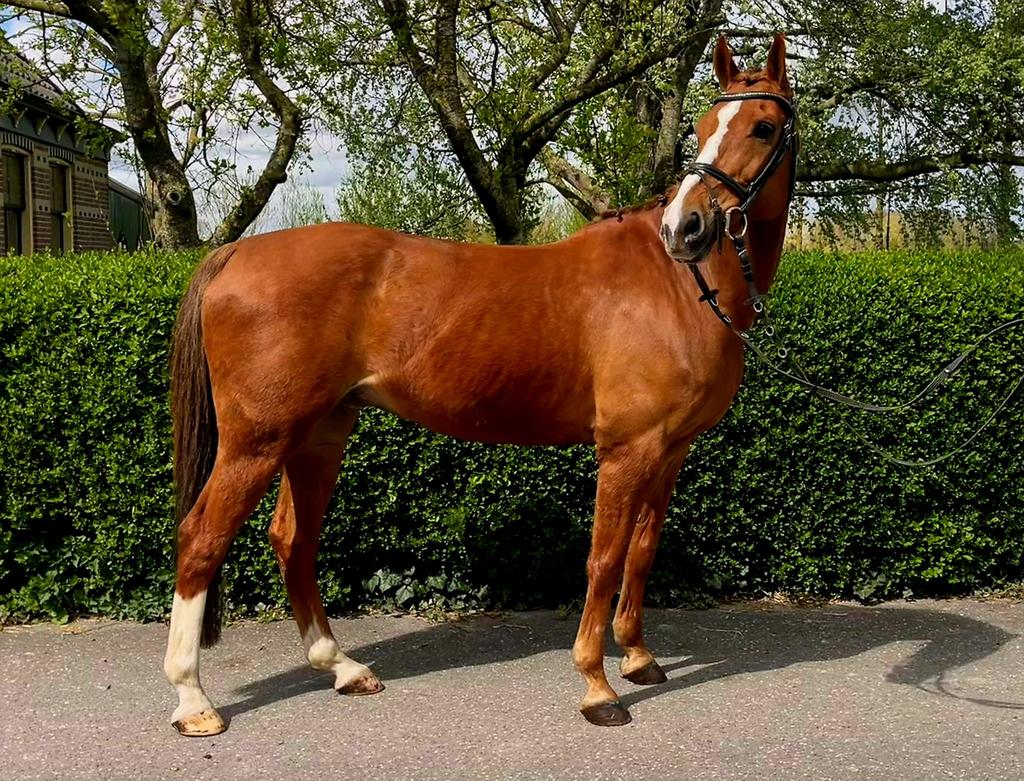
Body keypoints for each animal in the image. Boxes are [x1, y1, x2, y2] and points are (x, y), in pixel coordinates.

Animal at [163, 33, 796, 734]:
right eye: (706, 127)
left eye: (763, 127)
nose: (685, 226)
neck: (678, 285)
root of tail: (237, 253)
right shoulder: (627, 451)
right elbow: (603, 559)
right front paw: (597, 686)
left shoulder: (669, 450)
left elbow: (641, 551)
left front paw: (637, 658)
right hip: (257, 441)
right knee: (201, 539)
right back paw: (193, 700)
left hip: (318, 434)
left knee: (292, 540)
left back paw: (341, 668)